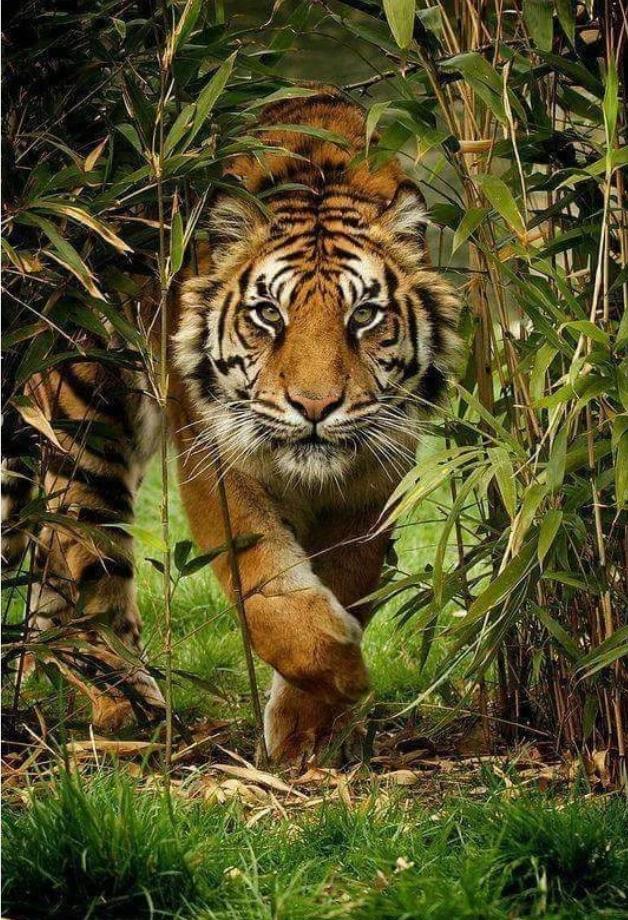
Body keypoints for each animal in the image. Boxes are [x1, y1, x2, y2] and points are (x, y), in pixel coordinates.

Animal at [3, 89, 460, 765]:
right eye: (268, 314)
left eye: (365, 315)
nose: (315, 406)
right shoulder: (215, 454)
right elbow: (263, 583)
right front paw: (343, 673)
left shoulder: (376, 471)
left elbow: (349, 576)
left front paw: (307, 729)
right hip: (85, 418)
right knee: (84, 557)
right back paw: (131, 711)